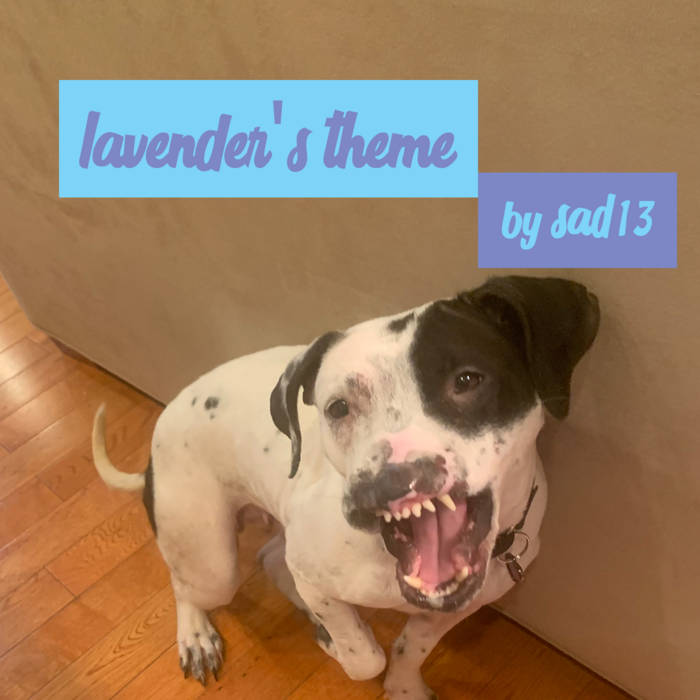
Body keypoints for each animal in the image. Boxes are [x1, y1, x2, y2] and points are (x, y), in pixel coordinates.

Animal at [92, 275, 599, 699]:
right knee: (186, 586)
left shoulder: (451, 608)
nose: (384, 484)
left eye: (468, 380)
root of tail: (159, 436)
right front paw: (340, 644)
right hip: (212, 562)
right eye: (338, 408)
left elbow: (409, 649)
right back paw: (197, 634)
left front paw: (403, 688)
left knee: (270, 558)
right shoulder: (316, 570)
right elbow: (364, 657)